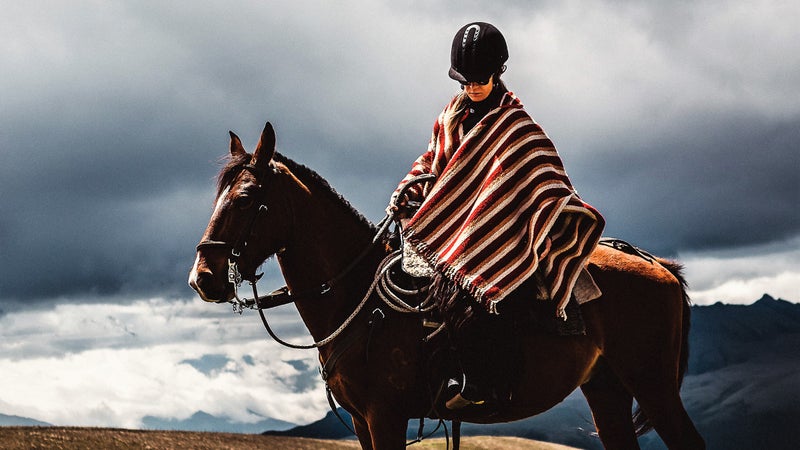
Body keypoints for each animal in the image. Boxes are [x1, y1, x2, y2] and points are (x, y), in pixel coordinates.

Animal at [191, 123, 704, 450]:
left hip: (653, 385)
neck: (359, 298)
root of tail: (657, 265)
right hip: (607, 387)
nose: (203, 278)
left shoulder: (385, 415)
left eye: (246, 199)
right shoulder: (361, 420)